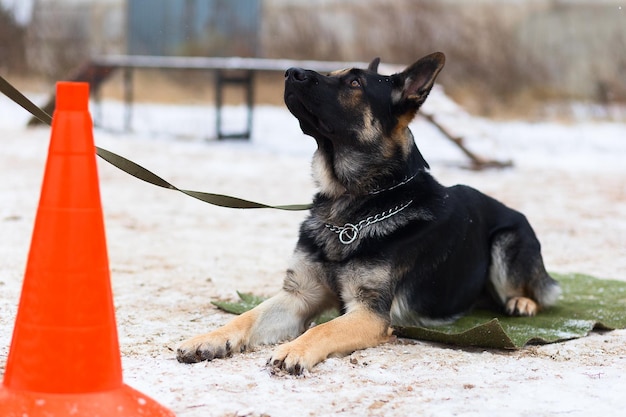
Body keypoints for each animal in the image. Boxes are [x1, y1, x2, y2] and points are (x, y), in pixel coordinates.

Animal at [177, 52, 560, 374]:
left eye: (355, 83)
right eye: (335, 73)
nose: (289, 71)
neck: (352, 205)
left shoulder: (369, 313)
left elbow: (325, 328)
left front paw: (295, 349)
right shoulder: (299, 296)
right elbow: (246, 317)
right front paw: (208, 338)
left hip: (505, 240)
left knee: (538, 293)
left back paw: (522, 302)